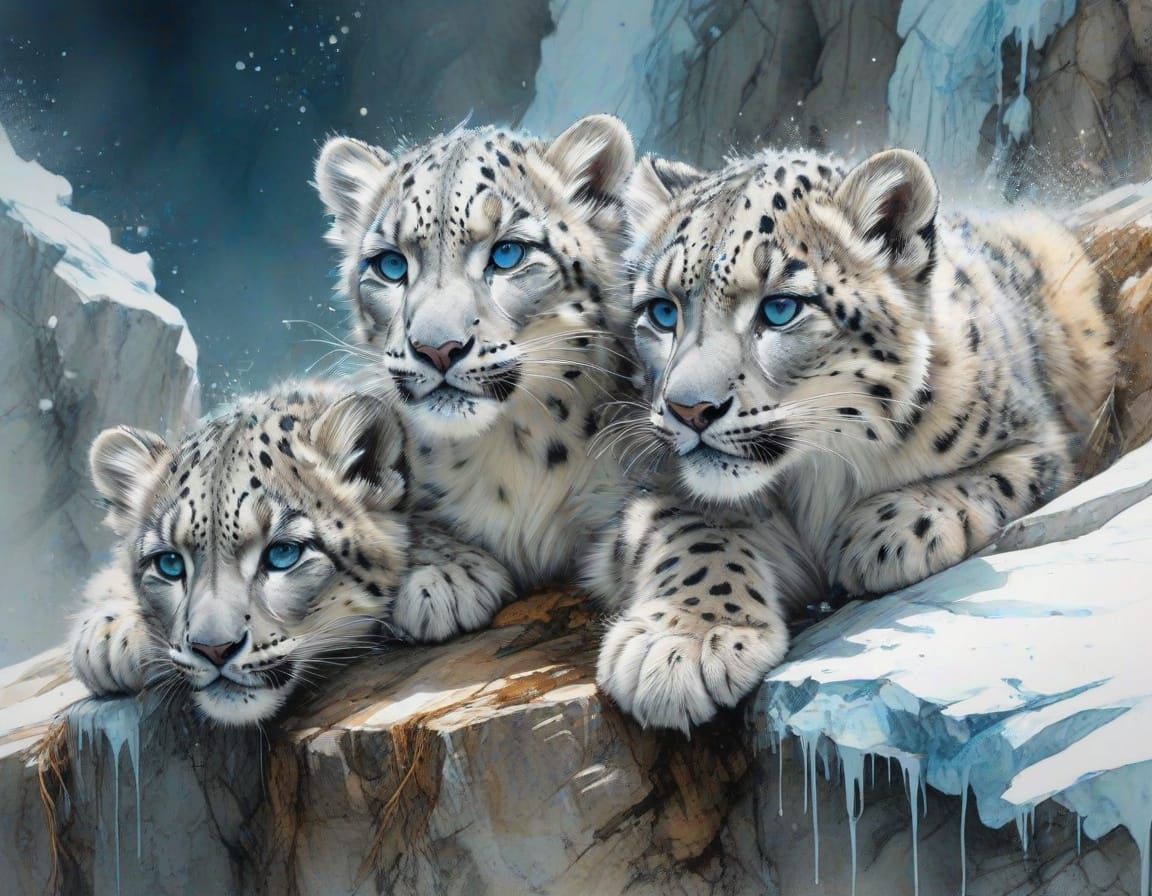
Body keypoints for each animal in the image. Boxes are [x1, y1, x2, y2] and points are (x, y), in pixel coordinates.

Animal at [589, 146, 1116, 732]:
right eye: (663, 311)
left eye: (780, 308)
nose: (690, 409)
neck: (818, 472)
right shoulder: (648, 487)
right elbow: (691, 532)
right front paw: (681, 642)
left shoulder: (1039, 441)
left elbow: (990, 476)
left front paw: (884, 533)